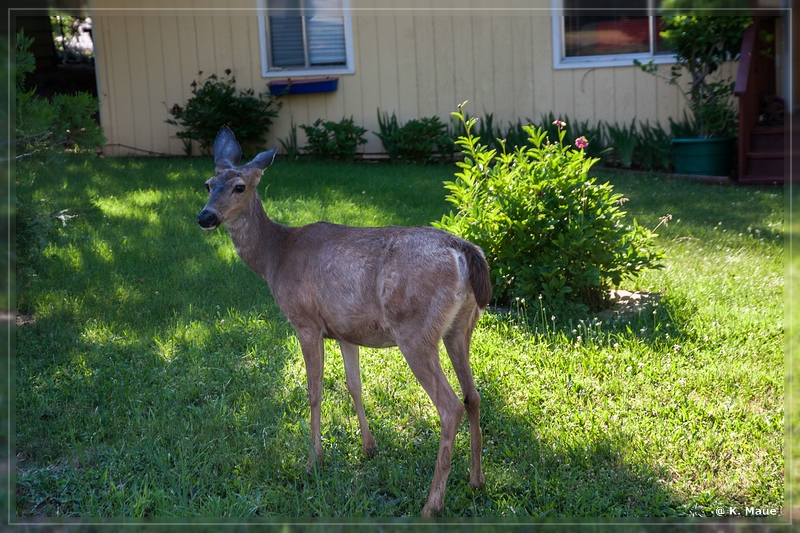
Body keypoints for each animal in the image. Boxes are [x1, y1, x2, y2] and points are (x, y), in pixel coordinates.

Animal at [197, 124, 490, 516]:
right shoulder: (346, 329)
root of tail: (465, 250)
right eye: (208, 184)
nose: (206, 217)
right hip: (460, 327)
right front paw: (369, 447)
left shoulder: (305, 321)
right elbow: (354, 385)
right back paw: (476, 480)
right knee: (472, 395)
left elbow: (314, 391)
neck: (275, 255)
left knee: (450, 405)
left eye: (240, 186)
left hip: (415, 330)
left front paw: (313, 460)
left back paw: (432, 505)